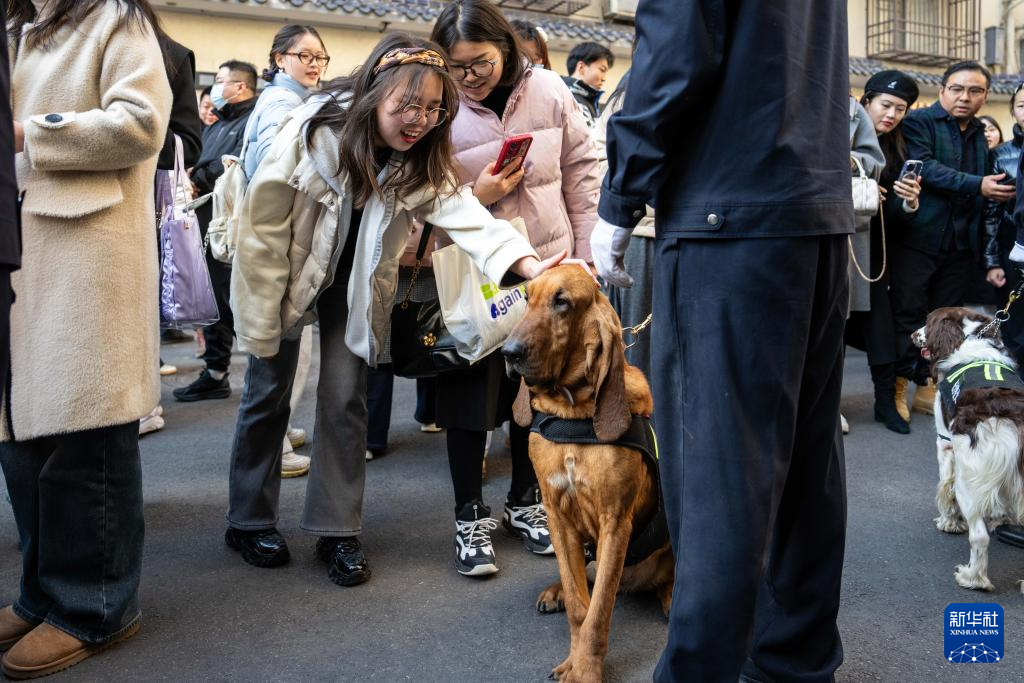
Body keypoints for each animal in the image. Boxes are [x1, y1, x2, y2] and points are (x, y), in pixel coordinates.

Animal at [499, 264, 675, 679]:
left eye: (562, 302)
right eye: (526, 297)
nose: (508, 353)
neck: (572, 413)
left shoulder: (615, 523)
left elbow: (598, 613)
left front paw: (585, 672)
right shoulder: (557, 516)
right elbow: (582, 609)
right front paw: (575, 657)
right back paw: (555, 592)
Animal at [913, 309, 1024, 593]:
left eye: (928, 322)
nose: (912, 335)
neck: (971, 339)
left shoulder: (945, 443)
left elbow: (946, 487)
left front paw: (949, 523)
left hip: (969, 482)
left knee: (979, 537)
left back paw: (973, 577)